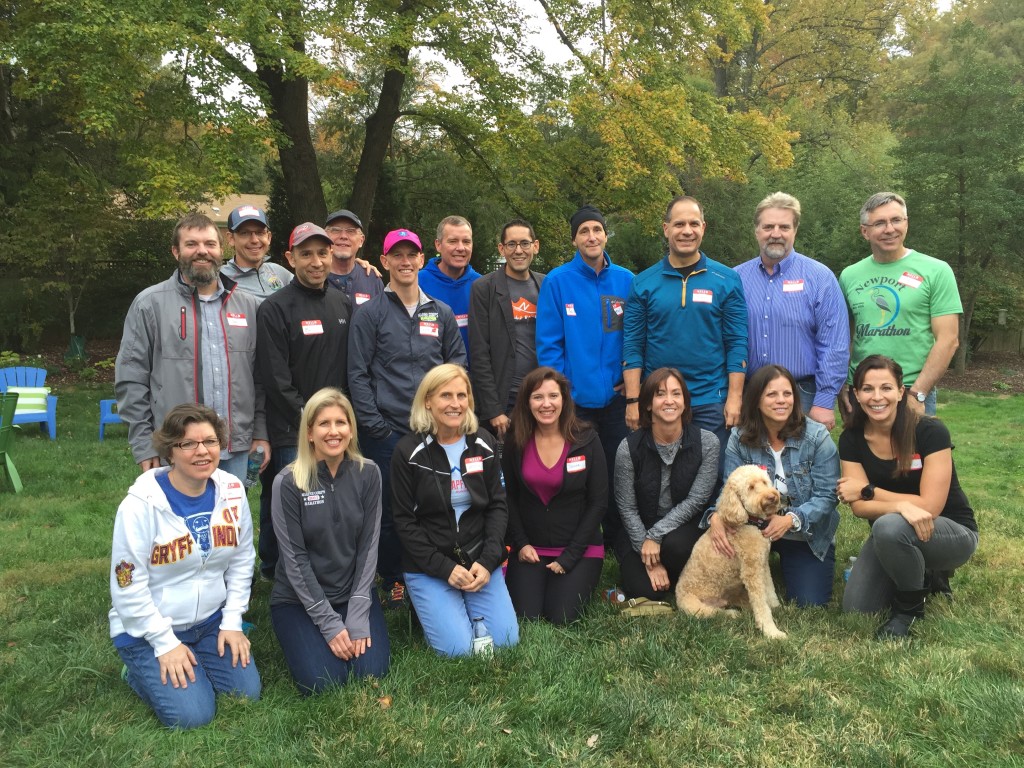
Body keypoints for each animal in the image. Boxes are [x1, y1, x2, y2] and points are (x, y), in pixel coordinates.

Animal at [675, 466, 786, 638]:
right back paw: (732, 614)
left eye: (764, 482)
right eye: (750, 487)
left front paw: (776, 606)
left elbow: (770, 588)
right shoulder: (752, 571)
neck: (750, 522)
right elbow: (761, 603)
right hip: (695, 607)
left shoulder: (762, 563)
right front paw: (771, 631)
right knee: (715, 613)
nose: (772, 496)